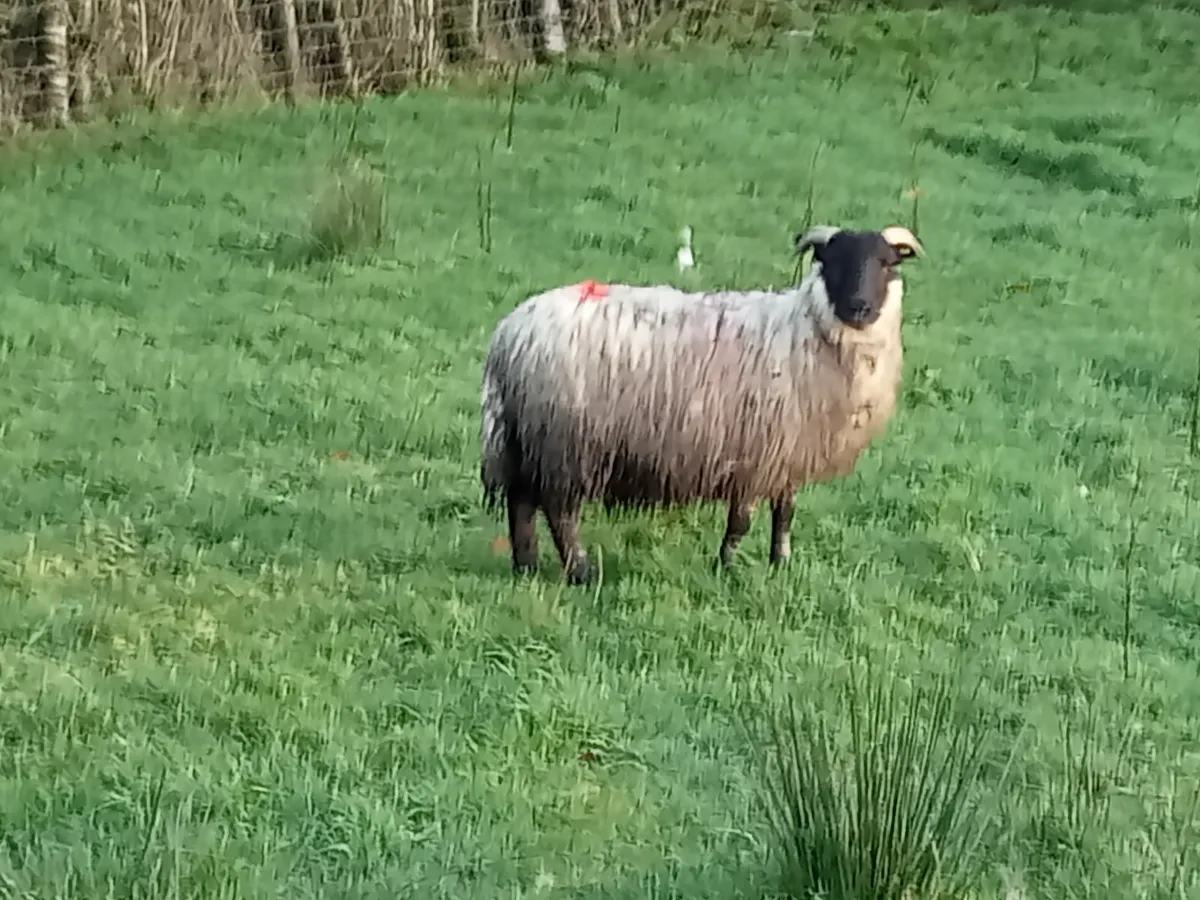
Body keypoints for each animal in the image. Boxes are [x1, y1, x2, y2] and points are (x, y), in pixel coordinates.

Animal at [479, 223, 925, 584]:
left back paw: (526, 566)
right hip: (565, 442)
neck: (806, 332)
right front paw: (726, 567)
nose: (859, 307)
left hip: (528, 439)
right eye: (833, 261)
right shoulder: (755, 455)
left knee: (520, 503)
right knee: (559, 511)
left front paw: (780, 564)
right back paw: (580, 572)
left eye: (886, 263)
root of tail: (510, 335)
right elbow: (741, 521)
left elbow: (784, 515)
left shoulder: (787, 454)